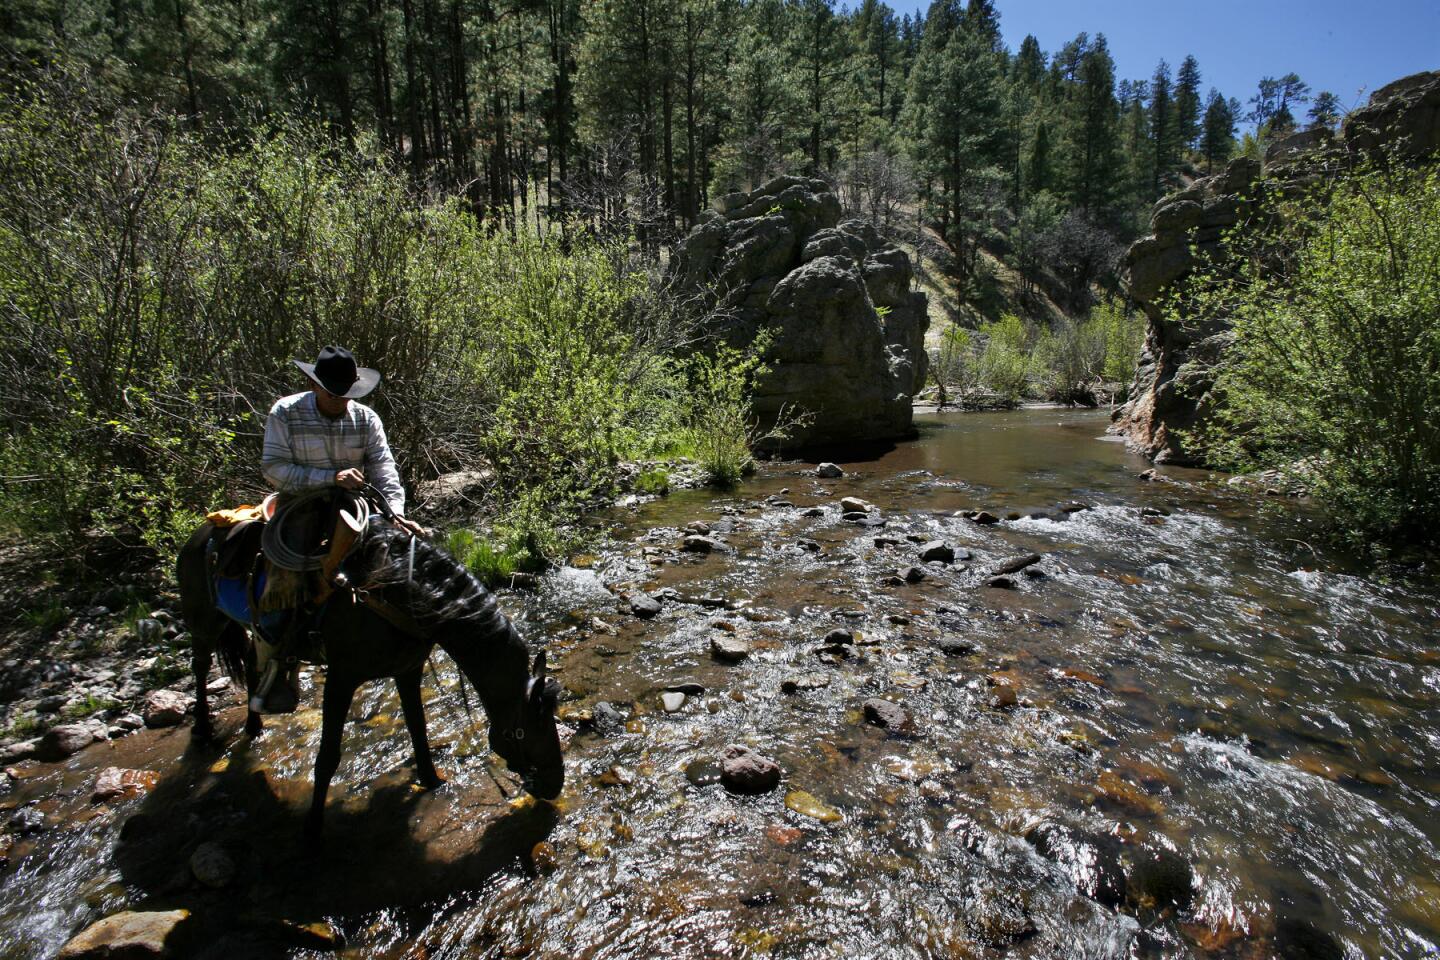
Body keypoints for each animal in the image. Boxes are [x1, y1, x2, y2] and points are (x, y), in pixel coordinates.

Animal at [174, 518, 561, 840]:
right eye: (535, 725)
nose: (556, 783)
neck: (399, 596)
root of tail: (198, 533)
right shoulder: (342, 678)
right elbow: (328, 756)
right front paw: (312, 829)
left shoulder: (408, 671)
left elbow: (418, 729)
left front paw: (432, 781)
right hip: (204, 624)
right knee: (200, 667)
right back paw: (203, 729)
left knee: (253, 668)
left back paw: (255, 726)